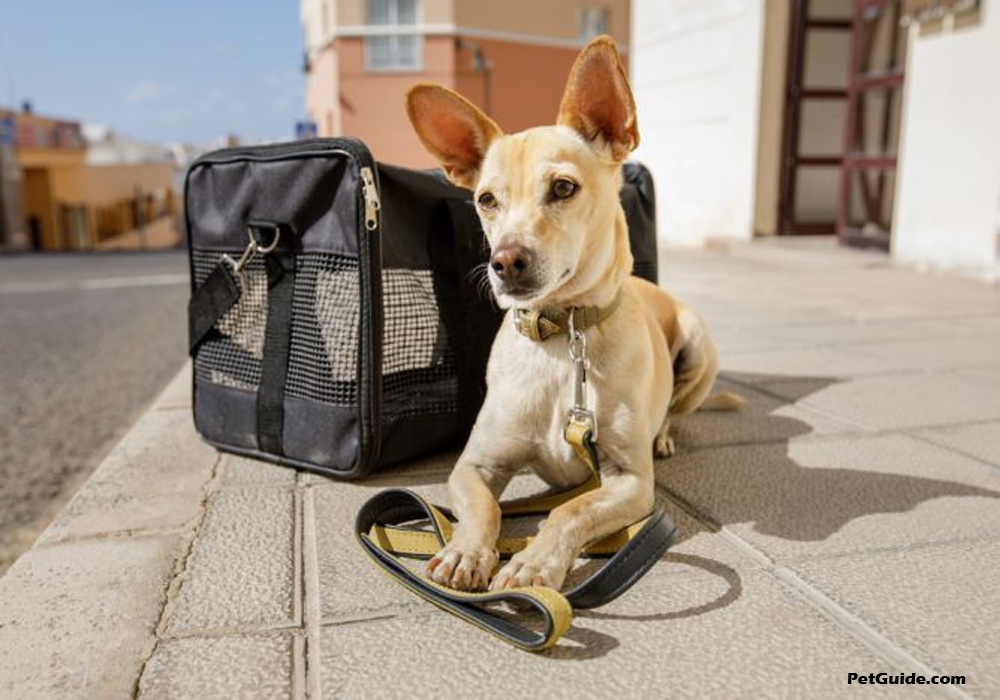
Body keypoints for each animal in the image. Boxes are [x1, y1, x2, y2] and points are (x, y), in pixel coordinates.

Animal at [402, 32, 740, 592]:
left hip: (699, 347)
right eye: (486, 199)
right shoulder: (473, 465)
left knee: (674, 408)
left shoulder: (630, 481)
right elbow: (484, 509)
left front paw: (533, 562)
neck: (564, 337)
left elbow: (569, 511)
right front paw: (466, 550)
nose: (505, 261)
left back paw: (664, 434)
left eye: (563, 187)